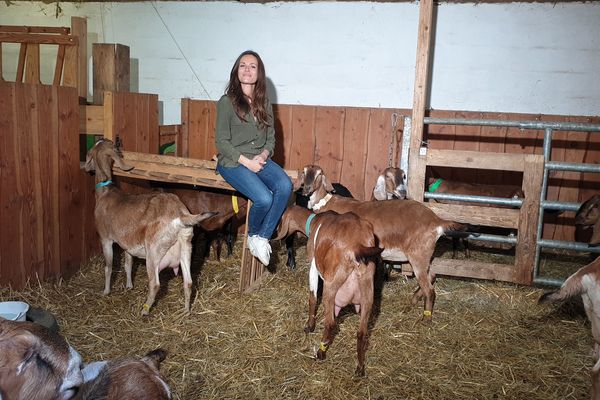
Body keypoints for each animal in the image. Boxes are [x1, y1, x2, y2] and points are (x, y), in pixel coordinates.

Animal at [83, 139, 217, 318]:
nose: (87, 168)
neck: (106, 192)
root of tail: (180, 214)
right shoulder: (127, 244)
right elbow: (128, 264)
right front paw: (129, 285)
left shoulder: (106, 239)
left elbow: (109, 266)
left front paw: (106, 291)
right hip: (186, 247)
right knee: (189, 282)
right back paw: (186, 311)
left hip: (153, 250)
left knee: (155, 283)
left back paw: (144, 310)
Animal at [276, 205, 382, 376]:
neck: (314, 221)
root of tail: (357, 246)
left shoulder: (313, 264)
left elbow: (312, 297)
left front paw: (309, 326)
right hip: (367, 293)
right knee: (362, 332)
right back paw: (359, 368)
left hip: (330, 288)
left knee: (331, 323)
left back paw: (320, 353)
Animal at [296, 165, 474, 322]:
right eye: (304, 171)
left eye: (319, 174)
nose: (306, 189)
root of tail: (436, 221)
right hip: (425, 256)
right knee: (431, 277)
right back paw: (413, 300)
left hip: (418, 256)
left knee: (430, 290)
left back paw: (426, 319)